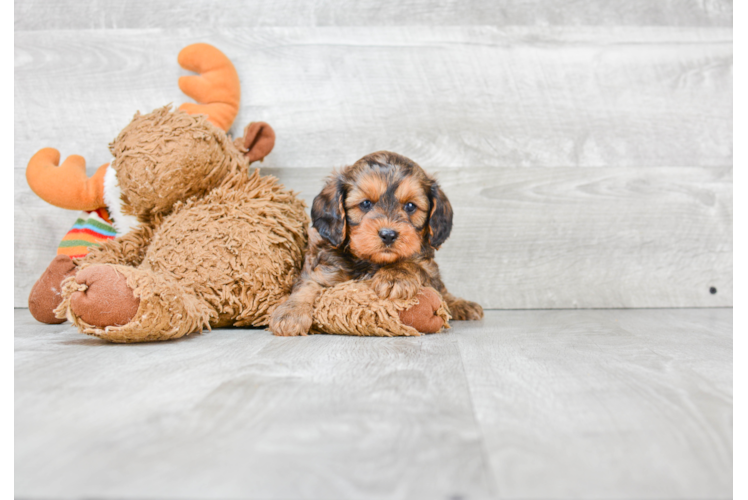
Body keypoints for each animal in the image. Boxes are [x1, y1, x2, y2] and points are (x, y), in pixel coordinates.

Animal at [268, 148, 486, 336]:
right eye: (365, 204)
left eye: (410, 206)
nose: (388, 234)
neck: (369, 262)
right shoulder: (322, 266)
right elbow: (306, 285)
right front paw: (291, 314)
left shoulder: (427, 268)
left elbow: (413, 265)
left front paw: (395, 276)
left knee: (443, 291)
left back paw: (462, 305)